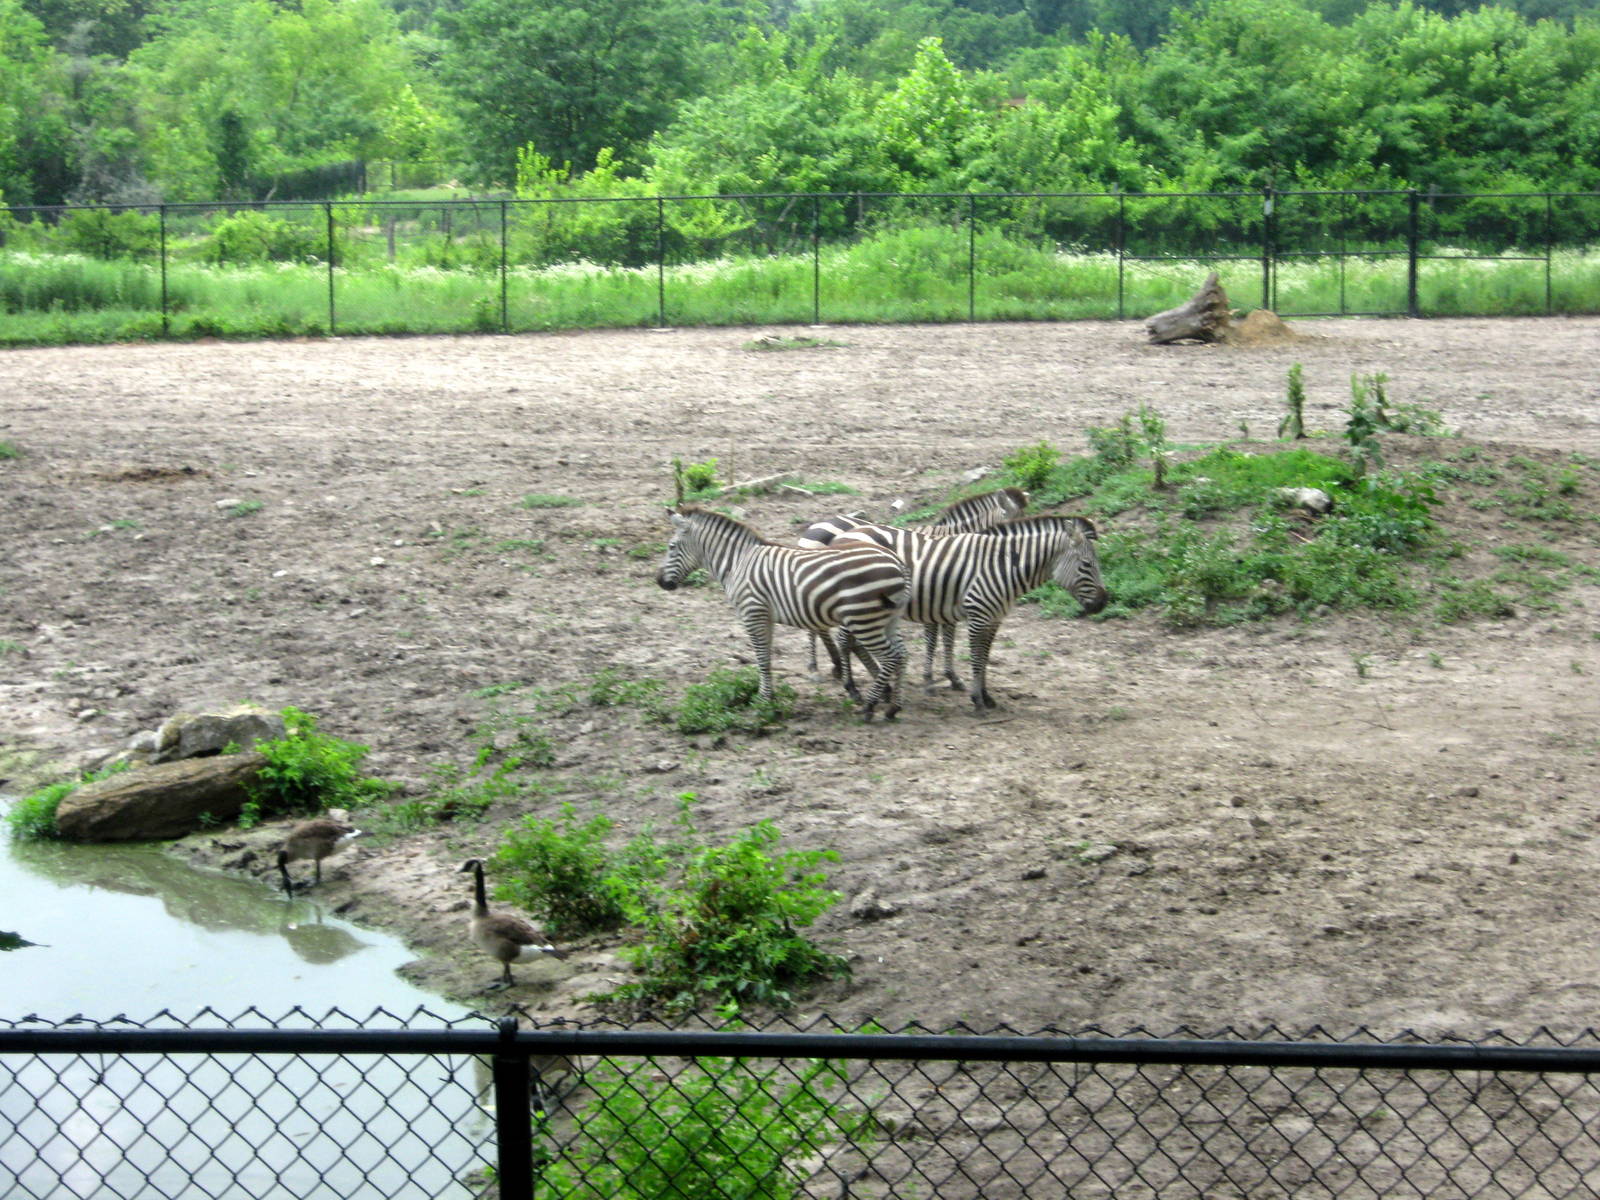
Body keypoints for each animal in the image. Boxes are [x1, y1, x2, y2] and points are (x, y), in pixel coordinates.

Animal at [656, 506, 911, 720]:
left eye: (671, 547)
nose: (659, 582)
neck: (738, 562)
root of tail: (897, 562)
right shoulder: (764, 616)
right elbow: (766, 657)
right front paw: (769, 697)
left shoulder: (752, 613)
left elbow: (761, 658)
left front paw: (763, 700)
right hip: (888, 619)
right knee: (902, 654)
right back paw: (893, 707)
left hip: (863, 619)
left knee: (890, 656)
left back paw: (869, 706)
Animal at [797, 487, 1031, 686]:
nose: (1017, 565)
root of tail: (815, 527)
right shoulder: (940, 595)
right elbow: (939, 639)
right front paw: (940, 677)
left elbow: (942, 638)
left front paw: (943, 676)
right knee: (818, 628)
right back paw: (820, 669)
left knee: (821, 627)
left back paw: (837, 666)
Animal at [834, 515, 1107, 714]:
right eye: (1086, 565)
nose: (1103, 603)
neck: (1005, 566)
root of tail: (846, 534)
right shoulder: (978, 615)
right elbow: (976, 659)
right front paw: (977, 700)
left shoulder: (994, 619)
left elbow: (985, 659)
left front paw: (987, 696)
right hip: (857, 603)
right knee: (845, 640)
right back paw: (854, 689)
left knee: (857, 643)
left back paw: (884, 688)